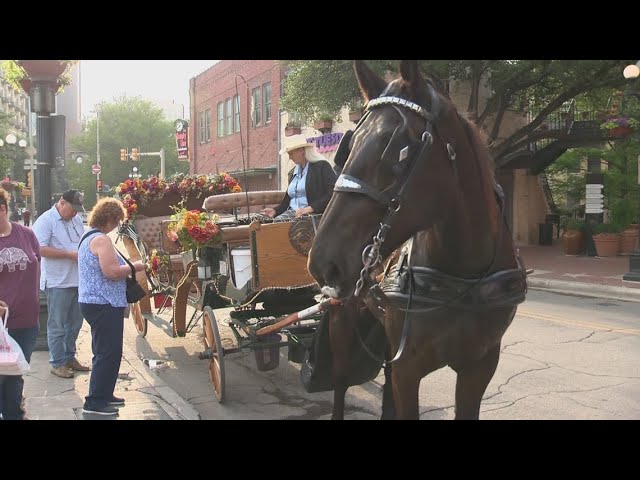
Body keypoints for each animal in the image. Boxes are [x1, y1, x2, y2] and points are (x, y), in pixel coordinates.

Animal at [308, 61, 524, 420]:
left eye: (397, 148)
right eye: (348, 147)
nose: (323, 262)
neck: (463, 277)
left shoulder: (479, 365)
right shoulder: (408, 368)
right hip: (342, 319)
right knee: (339, 382)